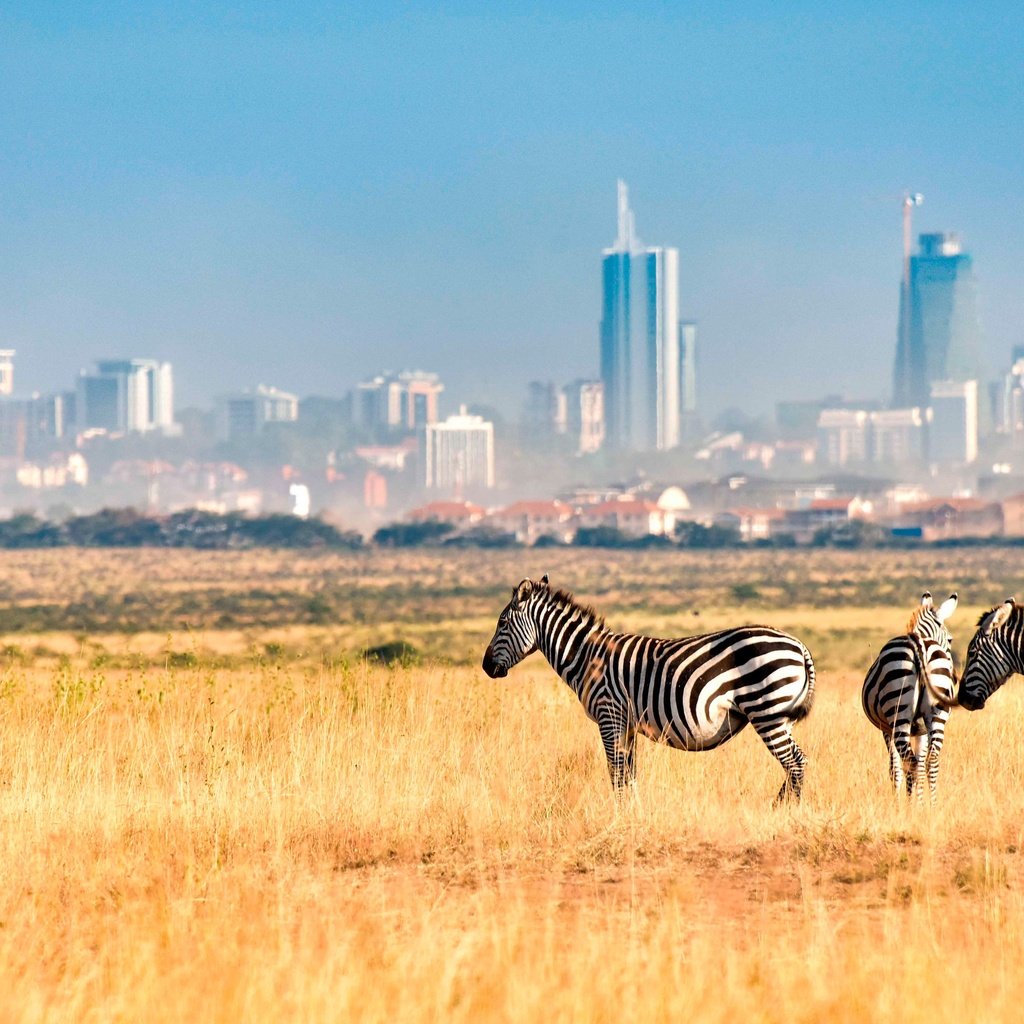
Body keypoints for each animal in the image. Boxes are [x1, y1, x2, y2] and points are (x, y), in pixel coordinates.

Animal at [479, 577, 815, 798]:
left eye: (502, 623)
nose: (485, 667)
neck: (586, 655)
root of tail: (798, 645)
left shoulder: (609, 715)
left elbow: (615, 773)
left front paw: (619, 816)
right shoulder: (627, 723)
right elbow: (629, 774)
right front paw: (634, 812)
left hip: (766, 711)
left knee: (796, 763)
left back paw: (781, 811)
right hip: (779, 716)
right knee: (796, 763)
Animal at [864, 593, 958, 798]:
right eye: (950, 640)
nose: (955, 678)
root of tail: (920, 644)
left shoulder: (886, 729)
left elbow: (895, 769)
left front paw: (898, 800)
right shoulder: (922, 730)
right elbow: (920, 766)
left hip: (898, 713)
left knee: (910, 763)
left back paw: (910, 804)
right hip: (937, 715)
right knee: (930, 762)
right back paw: (931, 804)